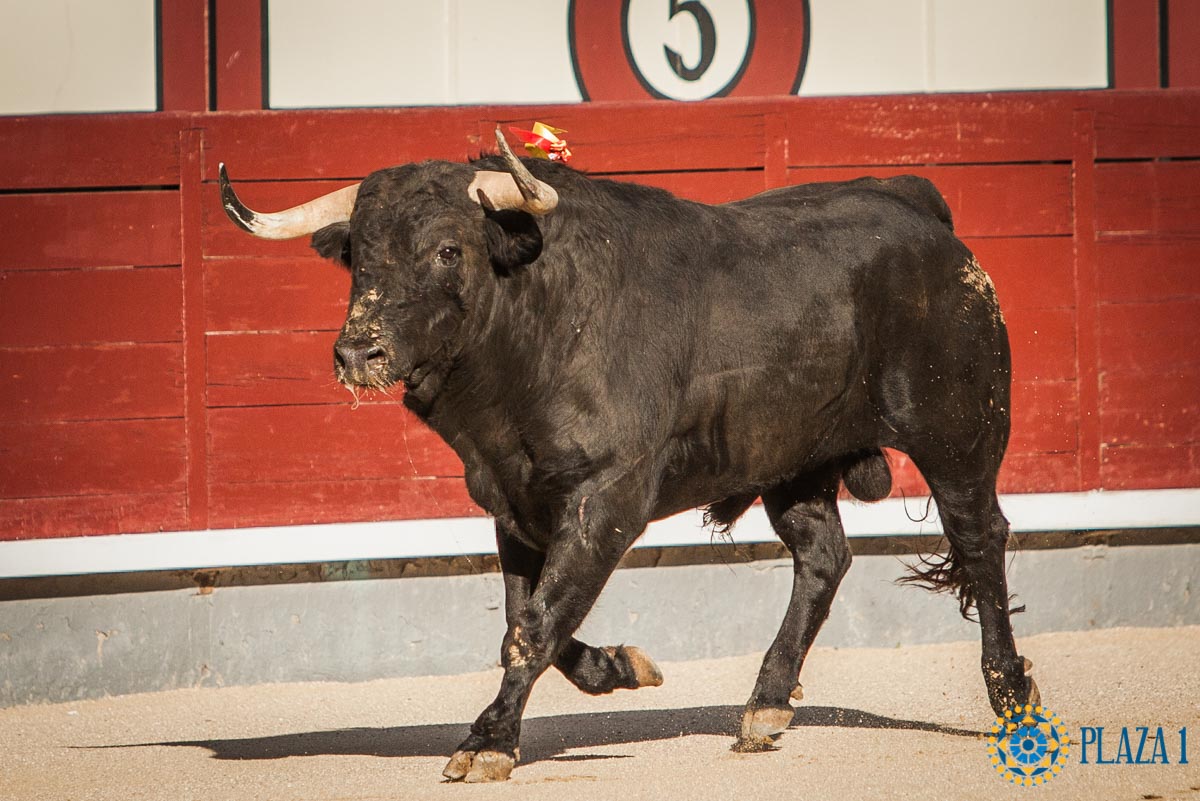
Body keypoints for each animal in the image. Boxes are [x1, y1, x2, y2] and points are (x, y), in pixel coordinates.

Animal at [218, 131, 1041, 781]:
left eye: (449, 248)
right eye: (358, 256)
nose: (358, 352)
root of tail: (912, 203)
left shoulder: (608, 496)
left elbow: (536, 623)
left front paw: (488, 743)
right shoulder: (513, 502)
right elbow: (529, 617)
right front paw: (618, 668)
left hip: (958, 434)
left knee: (980, 539)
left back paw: (1012, 695)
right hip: (795, 460)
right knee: (822, 556)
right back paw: (766, 705)